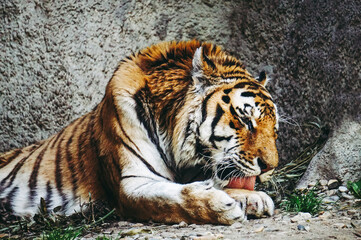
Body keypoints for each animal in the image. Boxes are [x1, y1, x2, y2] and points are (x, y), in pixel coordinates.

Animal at [0, 39, 278, 225]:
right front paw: (220, 206)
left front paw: (252, 197)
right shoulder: (132, 184)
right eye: (245, 120)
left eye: (274, 129)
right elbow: (174, 198)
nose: (270, 167)